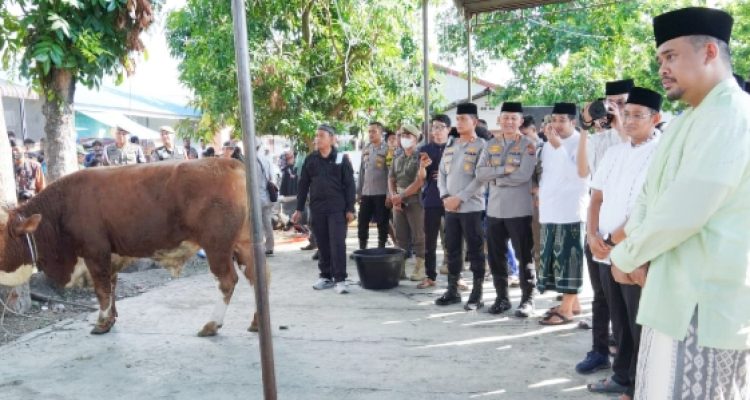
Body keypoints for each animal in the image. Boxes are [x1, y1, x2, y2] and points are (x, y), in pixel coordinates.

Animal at [0, 158, 262, 336]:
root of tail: (229, 162)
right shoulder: (110, 254)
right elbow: (111, 285)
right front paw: (111, 319)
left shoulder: (95, 251)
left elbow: (102, 289)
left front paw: (101, 323)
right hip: (243, 243)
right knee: (257, 277)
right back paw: (256, 322)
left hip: (217, 245)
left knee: (227, 281)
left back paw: (212, 324)